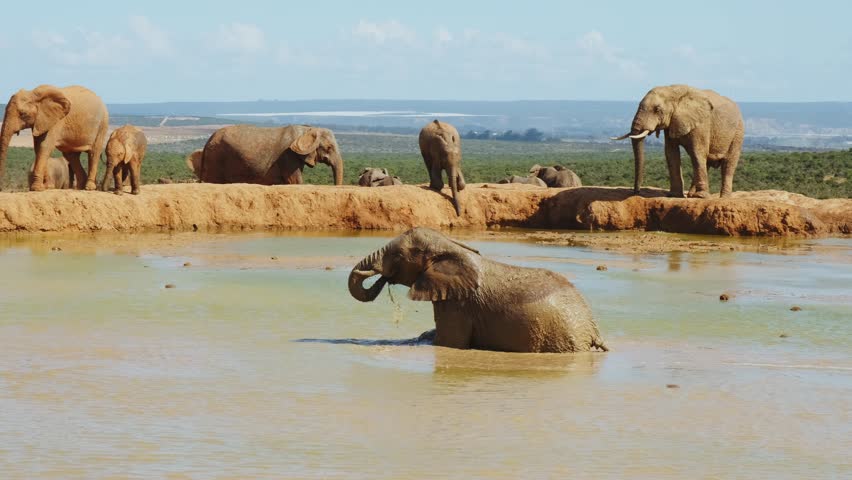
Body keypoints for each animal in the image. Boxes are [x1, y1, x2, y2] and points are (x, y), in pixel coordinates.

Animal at [187, 124, 343, 185]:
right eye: (328, 147)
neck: (307, 129)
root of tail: (207, 142)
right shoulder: (287, 156)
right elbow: (295, 181)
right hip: (216, 156)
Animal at [348, 227, 609, 353]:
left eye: (398, 256)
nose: (383, 276)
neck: (450, 246)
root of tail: (592, 328)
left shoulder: (458, 305)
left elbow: (448, 342)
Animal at [611, 84, 745, 198]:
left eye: (657, 109)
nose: (636, 192)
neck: (672, 90)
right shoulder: (672, 123)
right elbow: (671, 153)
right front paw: (674, 195)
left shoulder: (702, 124)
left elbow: (697, 153)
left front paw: (701, 197)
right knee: (706, 162)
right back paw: (691, 195)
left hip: (738, 131)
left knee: (728, 163)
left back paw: (723, 197)